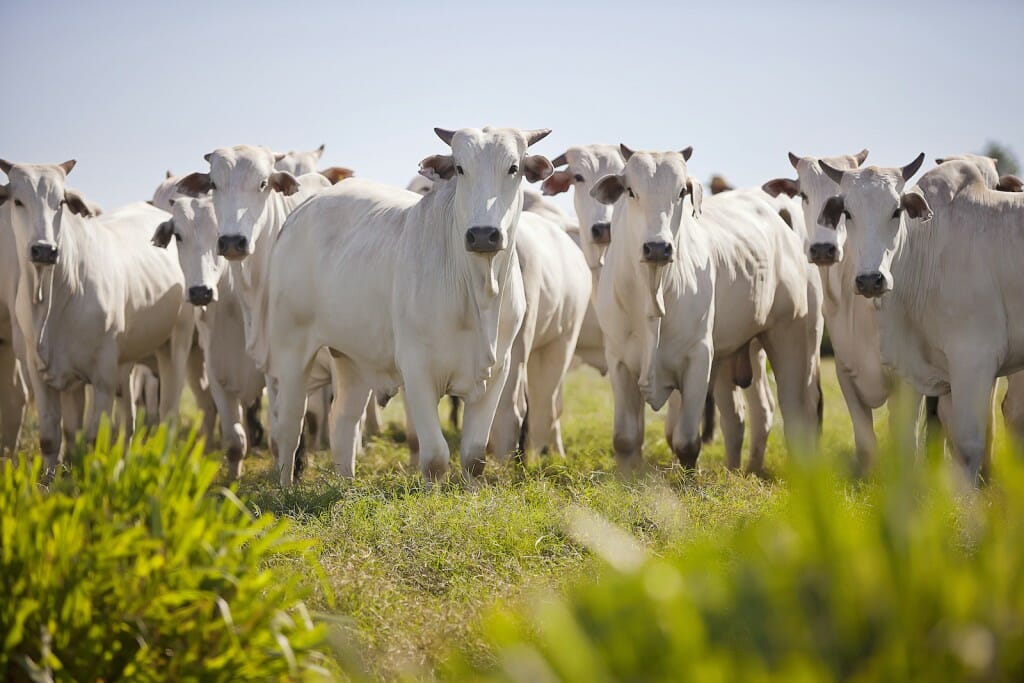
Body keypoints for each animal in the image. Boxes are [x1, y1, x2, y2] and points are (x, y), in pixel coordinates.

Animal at [0, 159, 193, 464]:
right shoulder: (42, 373)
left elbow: (92, 439)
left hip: (175, 344)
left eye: (61, 201)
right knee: (128, 421)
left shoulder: (102, 375)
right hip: (126, 363)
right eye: (17, 201)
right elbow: (54, 439)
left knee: (167, 414)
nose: (44, 250)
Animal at [264, 125, 552, 483]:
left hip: (351, 357)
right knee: (289, 427)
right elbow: (435, 458)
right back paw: (286, 486)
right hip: (291, 350)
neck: (478, 291)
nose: (484, 234)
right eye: (460, 168)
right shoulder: (416, 369)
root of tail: (302, 211)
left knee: (342, 421)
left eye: (514, 168)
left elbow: (474, 457)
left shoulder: (498, 370)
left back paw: (347, 484)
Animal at [593, 147, 823, 473]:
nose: (658, 247)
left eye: (681, 192)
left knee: (797, 412)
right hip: (739, 352)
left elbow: (686, 443)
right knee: (746, 415)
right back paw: (743, 470)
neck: (652, 292)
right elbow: (626, 440)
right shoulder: (619, 361)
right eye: (630, 191)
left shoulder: (699, 358)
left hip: (793, 338)